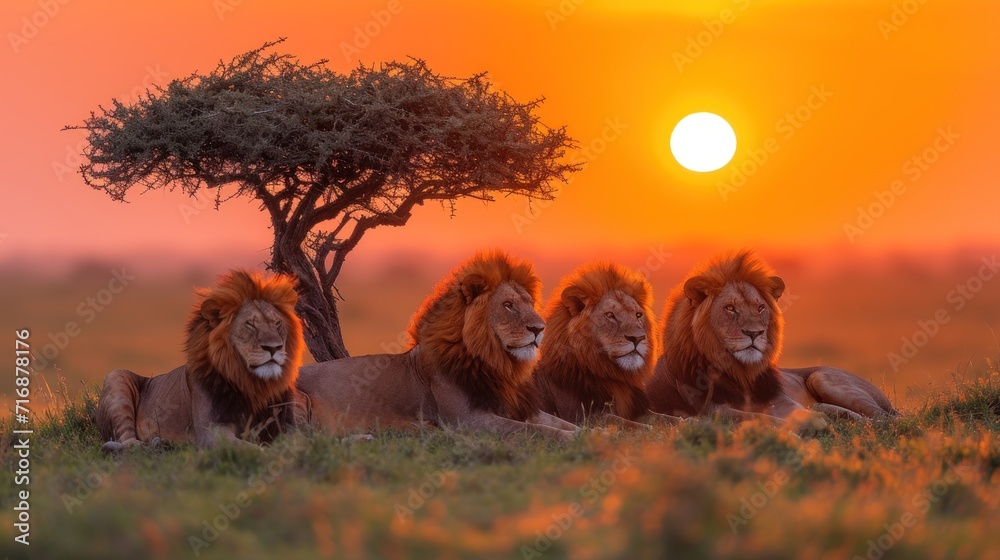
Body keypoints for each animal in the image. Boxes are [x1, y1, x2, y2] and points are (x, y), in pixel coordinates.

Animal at [98, 270, 308, 450]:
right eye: (250, 324)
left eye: (277, 323)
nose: (274, 347)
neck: (254, 385)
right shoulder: (212, 432)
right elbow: (254, 449)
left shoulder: (286, 426)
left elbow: (303, 441)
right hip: (116, 376)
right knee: (125, 442)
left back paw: (162, 443)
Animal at [536, 260, 676, 426]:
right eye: (610, 315)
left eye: (638, 315)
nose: (638, 338)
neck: (611, 374)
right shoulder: (587, 418)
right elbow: (632, 425)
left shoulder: (637, 409)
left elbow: (669, 418)